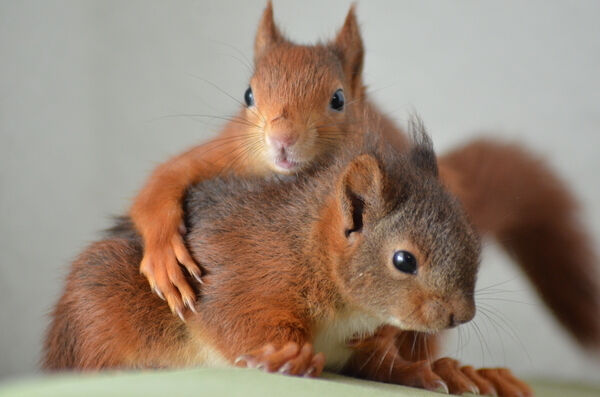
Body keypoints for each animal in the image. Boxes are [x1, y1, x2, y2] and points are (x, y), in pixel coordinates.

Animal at [47, 121, 536, 396]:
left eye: (473, 240)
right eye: (403, 260)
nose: (461, 315)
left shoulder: (359, 346)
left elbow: (381, 365)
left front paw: (438, 372)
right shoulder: (246, 272)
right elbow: (235, 318)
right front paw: (287, 357)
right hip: (99, 299)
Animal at [130, 2, 596, 346]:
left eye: (338, 99)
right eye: (248, 94)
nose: (281, 138)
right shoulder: (226, 154)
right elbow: (160, 186)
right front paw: (164, 257)